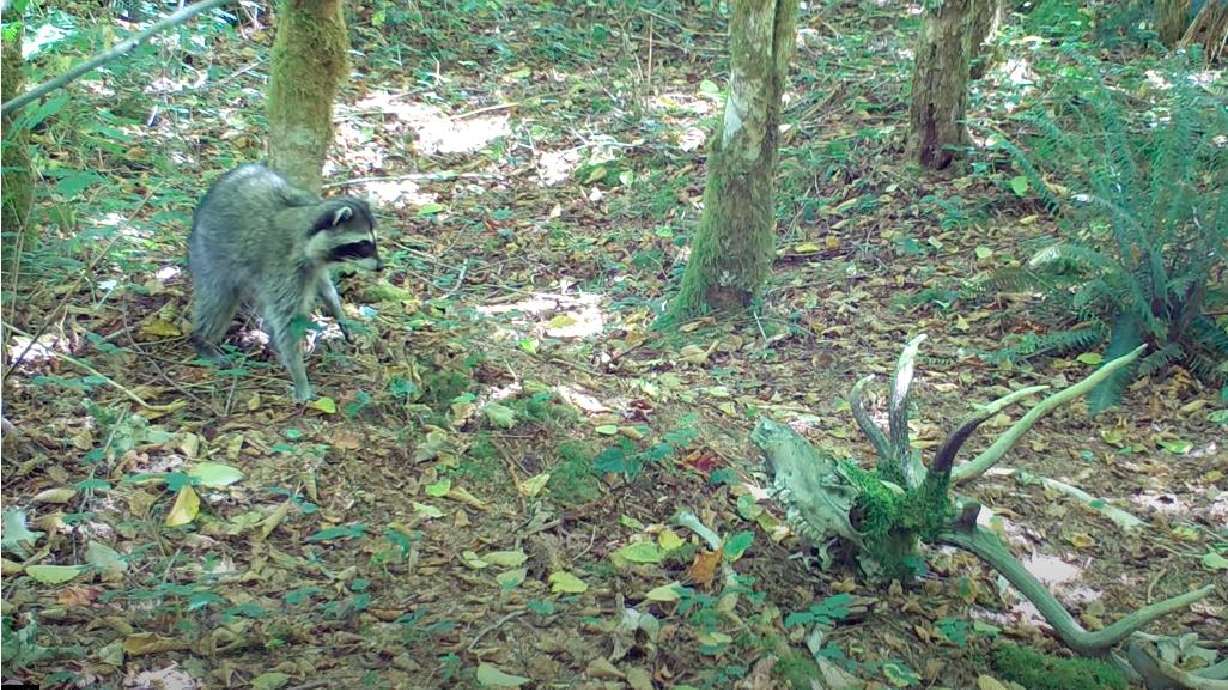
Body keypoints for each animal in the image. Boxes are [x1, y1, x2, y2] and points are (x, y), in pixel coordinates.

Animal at [188, 164, 382, 402]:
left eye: (374, 241)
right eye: (363, 244)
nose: (381, 267)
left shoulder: (313, 266)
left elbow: (324, 287)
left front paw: (338, 312)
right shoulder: (284, 266)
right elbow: (287, 322)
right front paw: (300, 378)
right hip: (210, 253)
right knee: (218, 301)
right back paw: (203, 341)